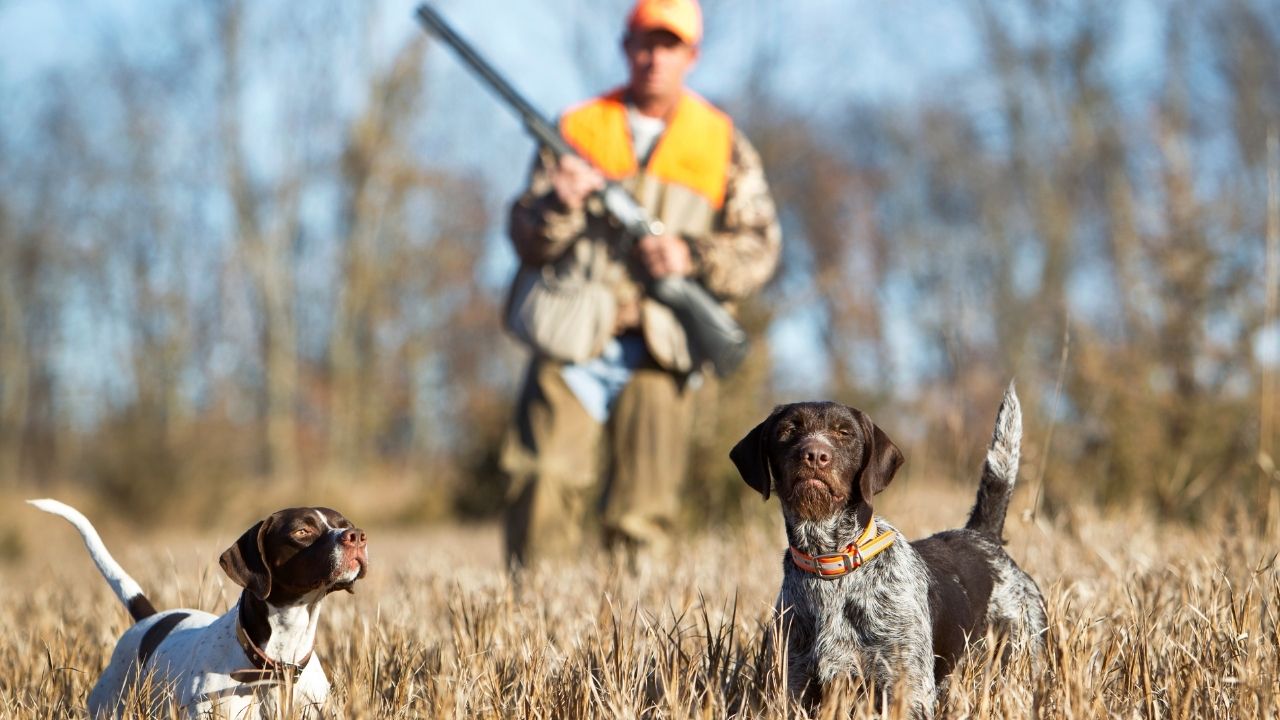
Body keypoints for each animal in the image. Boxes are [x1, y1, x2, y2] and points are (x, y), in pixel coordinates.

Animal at [737, 381, 1044, 712]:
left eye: (844, 433)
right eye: (788, 430)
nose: (815, 455)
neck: (831, 564)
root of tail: (982, 536)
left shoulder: (907, 691)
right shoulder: (795, 687)